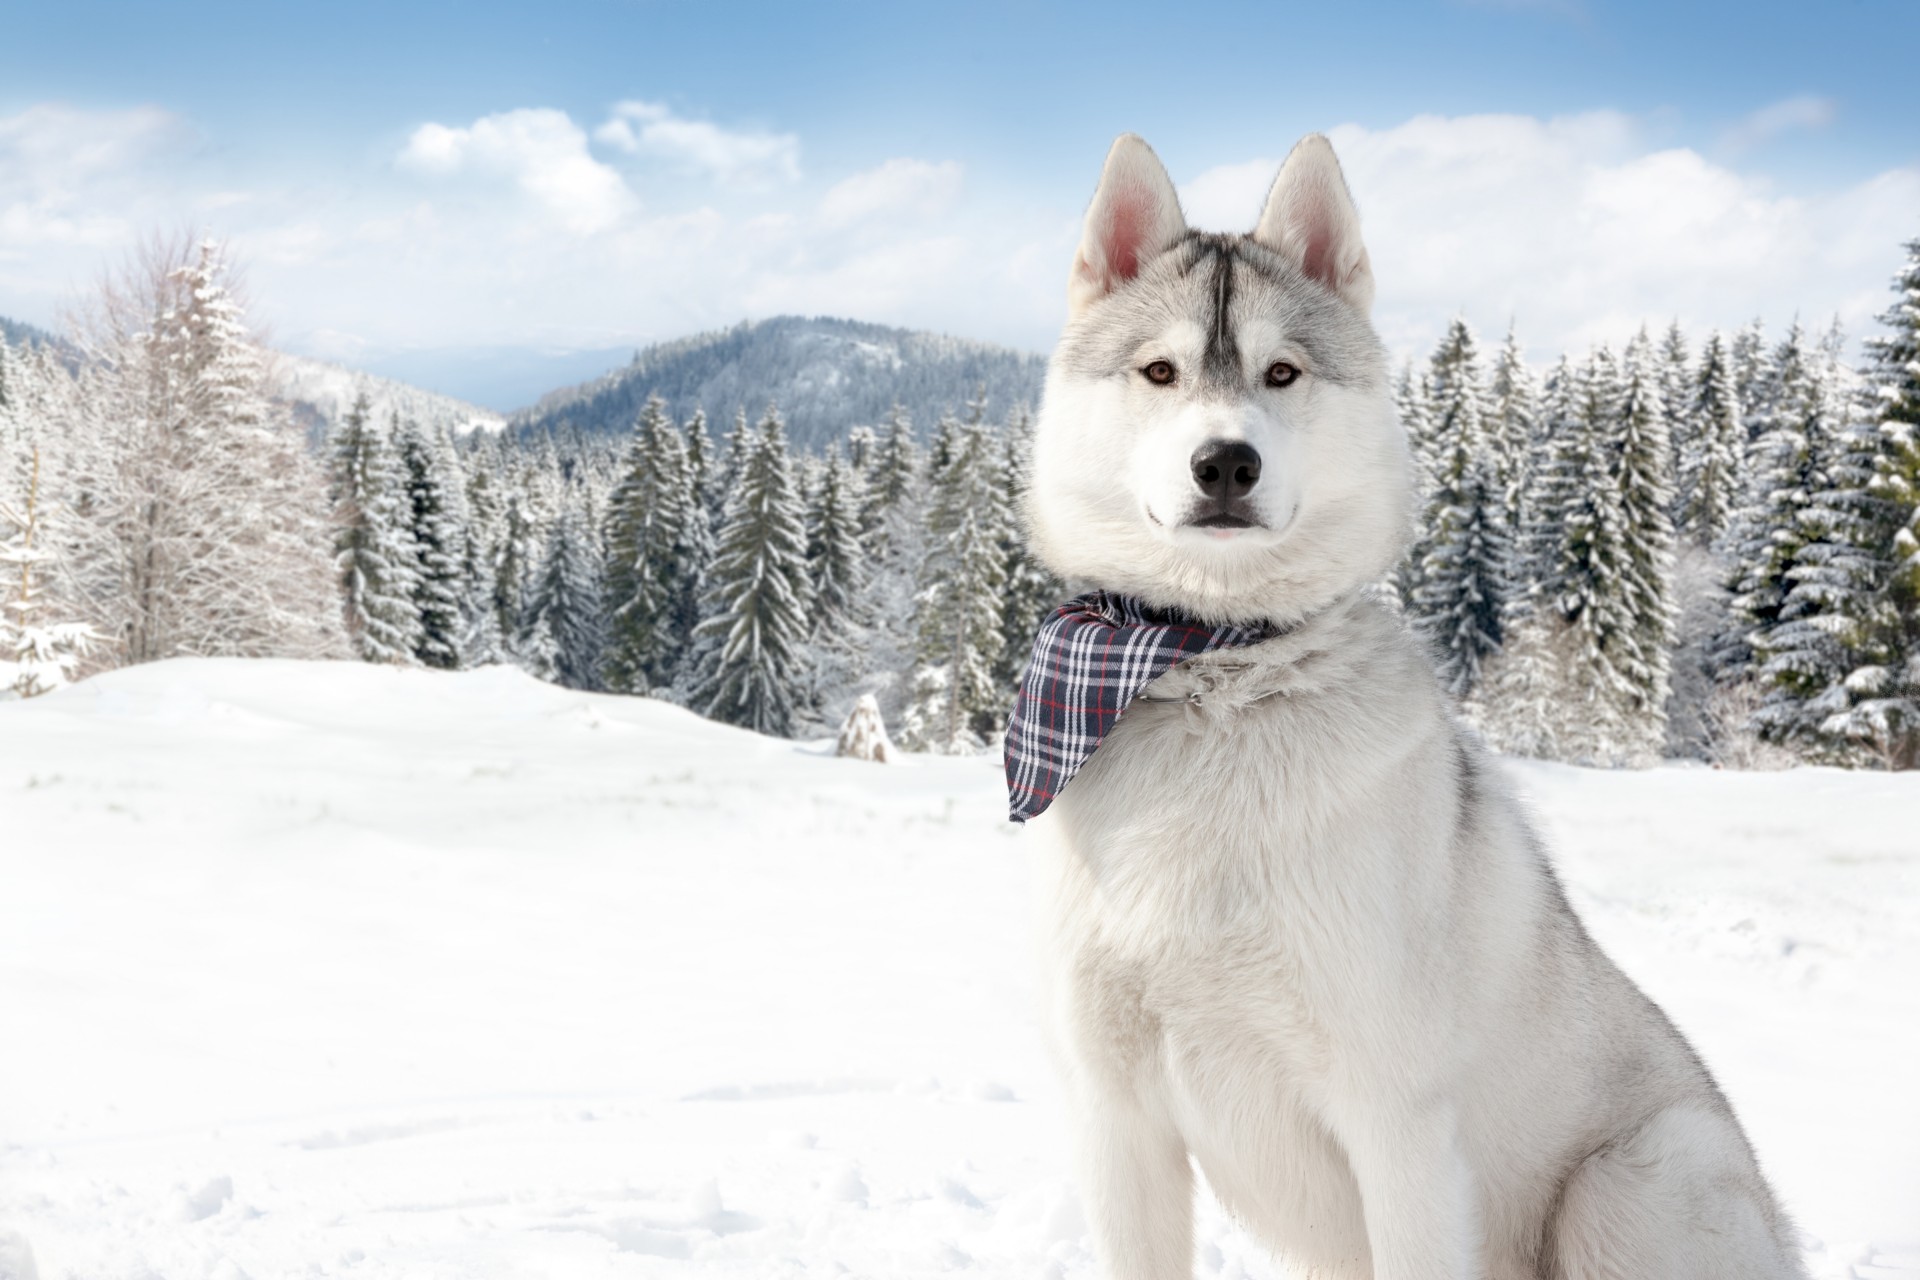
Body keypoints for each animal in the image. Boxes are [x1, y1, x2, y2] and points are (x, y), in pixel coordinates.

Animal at [1021, 132, 1797, 1280]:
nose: (1226, 462)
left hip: (1629, 1183)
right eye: (1159, 372)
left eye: (1282, 372)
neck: (1218, 678)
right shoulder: (1117, 1121)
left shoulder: (1397, 1126)